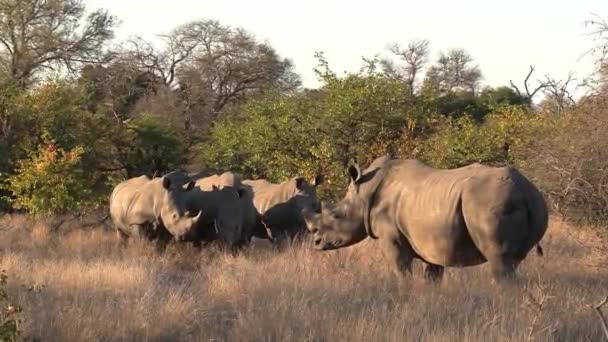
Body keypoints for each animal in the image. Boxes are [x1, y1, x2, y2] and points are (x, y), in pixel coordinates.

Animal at [306, 156, 548, 282]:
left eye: (336, 215)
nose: (316, 243)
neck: (364, 192)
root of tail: (525, 190)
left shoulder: (391, 238)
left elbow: (400, 270)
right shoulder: (433, 242)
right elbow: (432, 274)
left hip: (488, 203)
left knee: (500, 261)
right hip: (533, 203)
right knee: (512, 262)